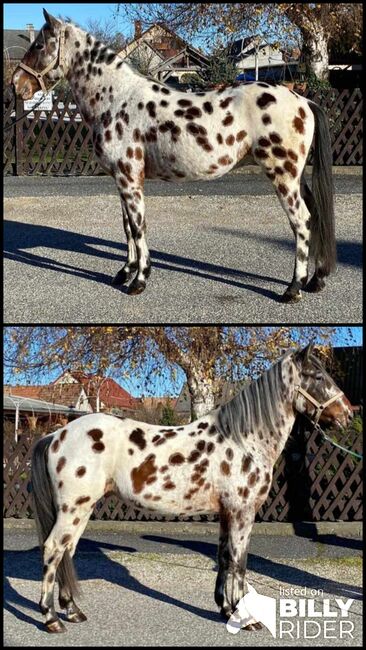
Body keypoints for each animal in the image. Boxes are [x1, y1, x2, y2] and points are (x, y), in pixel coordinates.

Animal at [12, 8, 336, 302]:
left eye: (39, 45)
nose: (16, 84)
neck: (116, 99)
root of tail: (303, 100)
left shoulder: (130, 180)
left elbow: (139, 227)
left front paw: (139, 280)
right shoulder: (121, 180)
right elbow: (127, 227)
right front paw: (125, 272)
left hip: (284, 176)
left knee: (302, 221)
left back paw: (293, 288)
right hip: (297, 177)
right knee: (315, 215)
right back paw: (315, 280)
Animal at [31, 342, 352, 632]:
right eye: (318, 376)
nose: (347, 414)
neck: (243, 440)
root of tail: (57, 435)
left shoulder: (227, 513)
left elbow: (225, 558)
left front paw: (226, 609)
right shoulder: (243, 513)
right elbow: (240, 563)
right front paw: (245, 619)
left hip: (81, 509)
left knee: (67, 551)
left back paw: (73, 611)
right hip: (74, 508)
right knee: (53, 549)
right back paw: (52, 619)